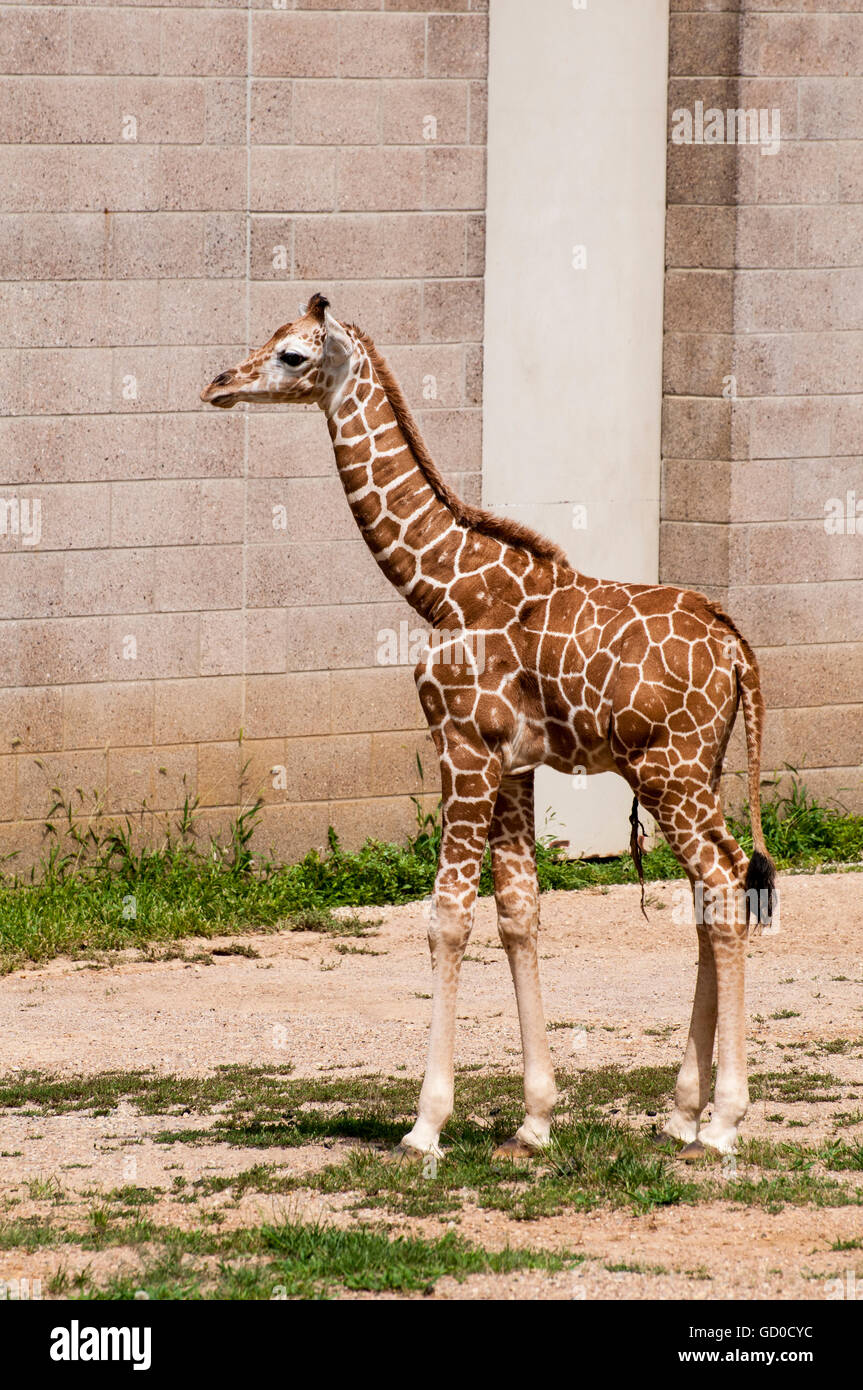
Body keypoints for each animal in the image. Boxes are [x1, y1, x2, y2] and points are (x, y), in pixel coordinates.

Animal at [201, 292, 777, 1160]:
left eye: (292, 355)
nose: (218, 385)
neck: (440, 588)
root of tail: (735, 647)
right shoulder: (514, 764)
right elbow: (518, 911)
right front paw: (533, 1121)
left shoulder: (462, 749)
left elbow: (446, 917)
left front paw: (425, 1125)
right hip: (694, 770)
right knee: (717, 885)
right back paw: (681, 1111)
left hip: (668, 770)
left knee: (717, 879)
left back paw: (721, 1123)